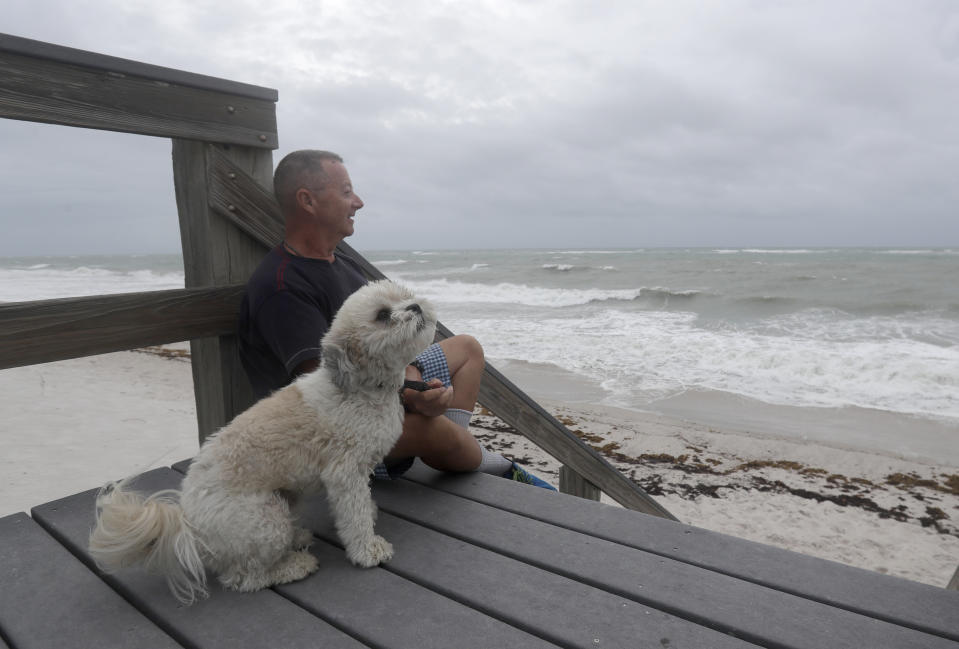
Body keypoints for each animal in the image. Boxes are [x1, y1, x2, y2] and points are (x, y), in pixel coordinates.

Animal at [86, 280, 438, 604]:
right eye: (382, 315)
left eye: (406, 296)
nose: (416, 307)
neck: (362, 388)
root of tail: (189, 525)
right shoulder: (345, 474)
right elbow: (355, 516)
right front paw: (368, 549)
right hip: (263, 518)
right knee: (246, 578)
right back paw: (293, 566)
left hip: (282, 501)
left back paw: (297, 537)